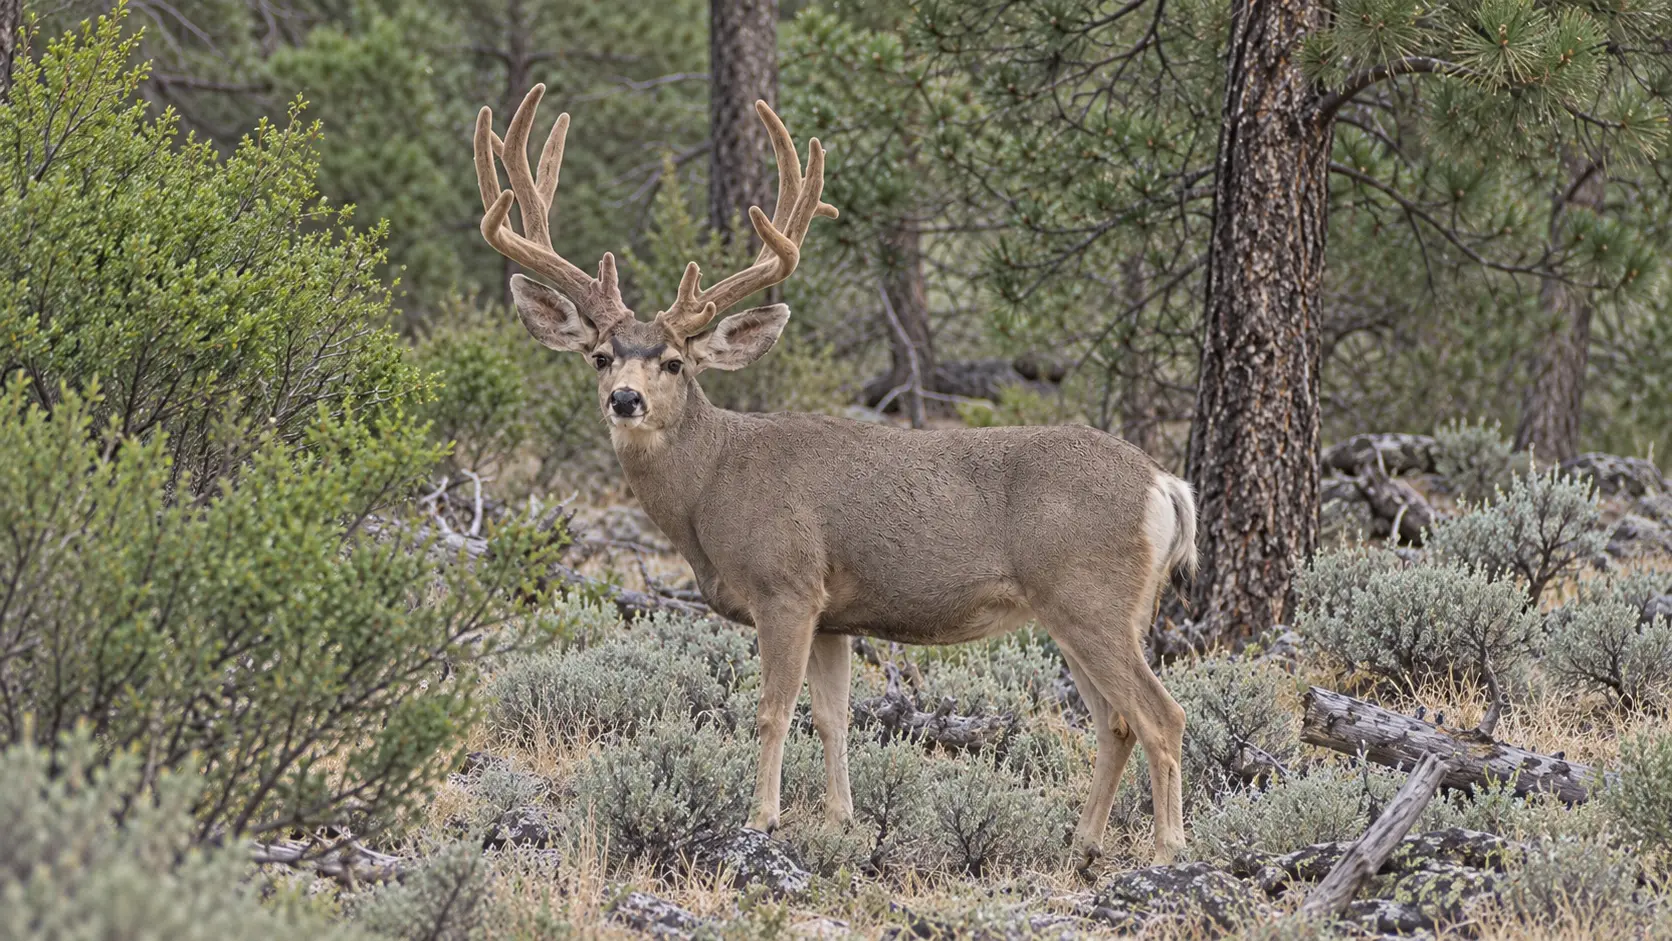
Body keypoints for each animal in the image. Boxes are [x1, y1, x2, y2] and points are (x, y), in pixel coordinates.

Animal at [473, 85, 1198, 865]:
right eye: (602, 355)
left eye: (674, 362)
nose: (626, 399)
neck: (711, 489)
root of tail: (1164, 484)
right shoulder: (834, 612)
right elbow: (833, 716)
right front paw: (840, 820)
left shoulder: (785, 584)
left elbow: (772, 709)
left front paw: (761, 818)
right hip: (1077, 610)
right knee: (1115, 719)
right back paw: (1082, 842)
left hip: (1092, 595)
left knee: (1162, 713)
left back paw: (1167, 849)